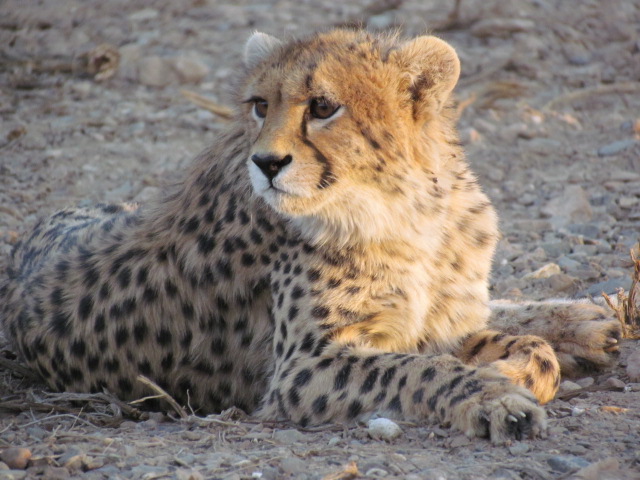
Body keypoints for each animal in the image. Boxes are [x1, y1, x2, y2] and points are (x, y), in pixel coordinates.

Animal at [0, 29, 620, 442]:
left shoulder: (433, 319)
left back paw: (589, 319)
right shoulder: (305, 367)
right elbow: (422, 367)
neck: (412, 209)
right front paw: (494, 395)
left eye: (323, 106)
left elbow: (519, 346)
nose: (266, 163)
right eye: (259, 105)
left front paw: (533, 350)